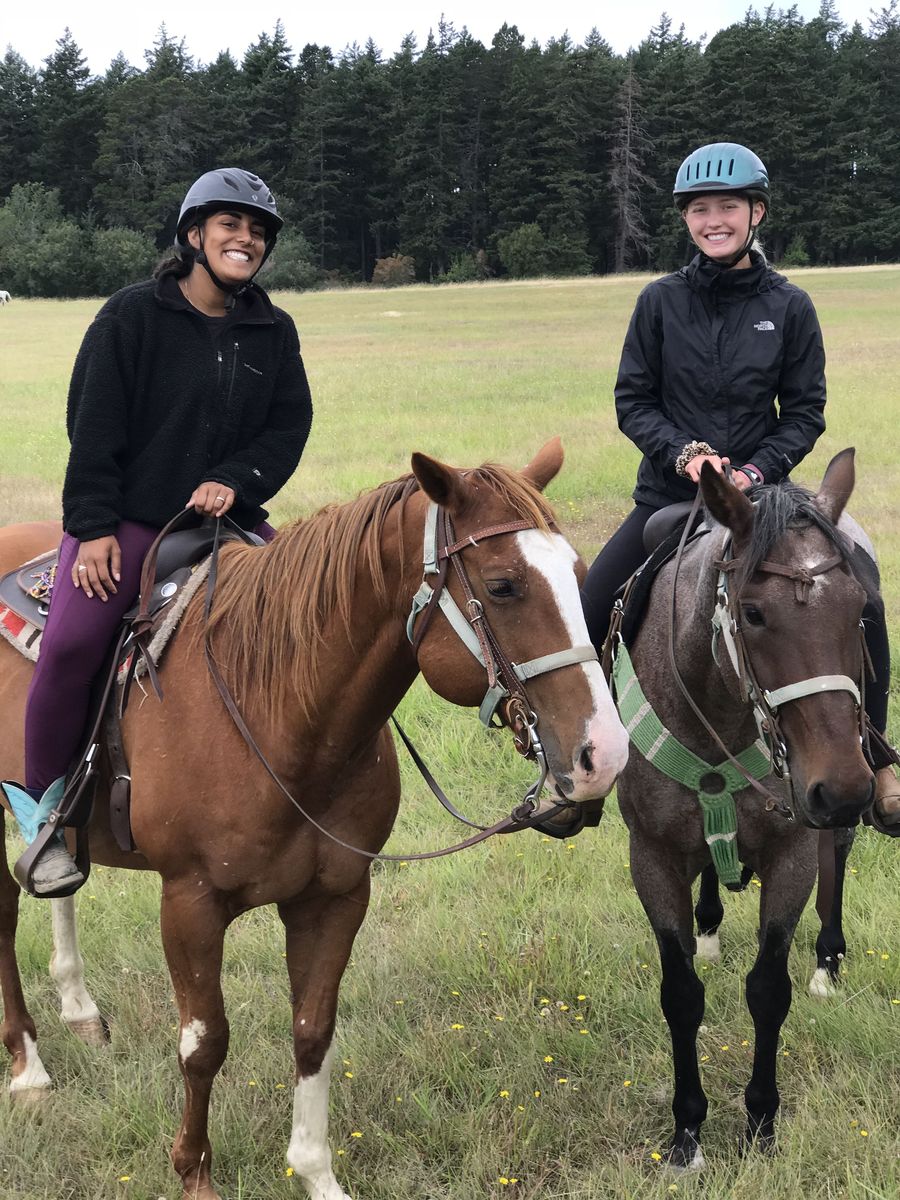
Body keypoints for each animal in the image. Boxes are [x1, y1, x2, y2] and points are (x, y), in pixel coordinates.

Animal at [0, 440, 630, 1200]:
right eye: (505, 585)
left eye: (580, 576)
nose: (605, 754)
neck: (274, 708)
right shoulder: (190, 902)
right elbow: (204, 1042)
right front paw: (195, 1173)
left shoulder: (335, 896)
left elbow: (313, 1030)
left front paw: (314, 1172)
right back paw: (29, 1066)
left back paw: (79, 1009)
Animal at [613, 448, 874, 1168]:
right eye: (753, 614)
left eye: (859, 611)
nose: (845, 789)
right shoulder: (651, 857)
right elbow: (680, 996)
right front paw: (687, 1132)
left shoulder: (792, 854)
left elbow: (767, 989)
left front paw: (760, 1121)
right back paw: (707, 929)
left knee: (838, 857)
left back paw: (828, 961)